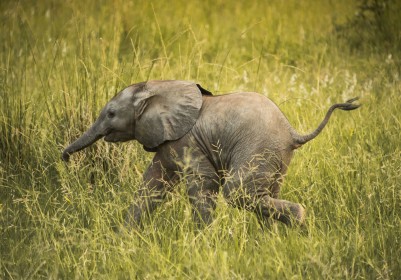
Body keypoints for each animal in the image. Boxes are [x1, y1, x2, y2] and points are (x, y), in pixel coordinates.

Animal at [62, 80, 360, 228]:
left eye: (111, 114)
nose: (64, 158)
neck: (159, 87)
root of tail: (293, 132)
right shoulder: (168, 143)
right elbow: (152, 185)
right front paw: (124, 237)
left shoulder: (187, 142)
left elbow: (202, 185)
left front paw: (203, 241)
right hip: (275, 157)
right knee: (265, 193)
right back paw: (274, 236)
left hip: (258, 148)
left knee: (236, 192)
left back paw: (298, 221)